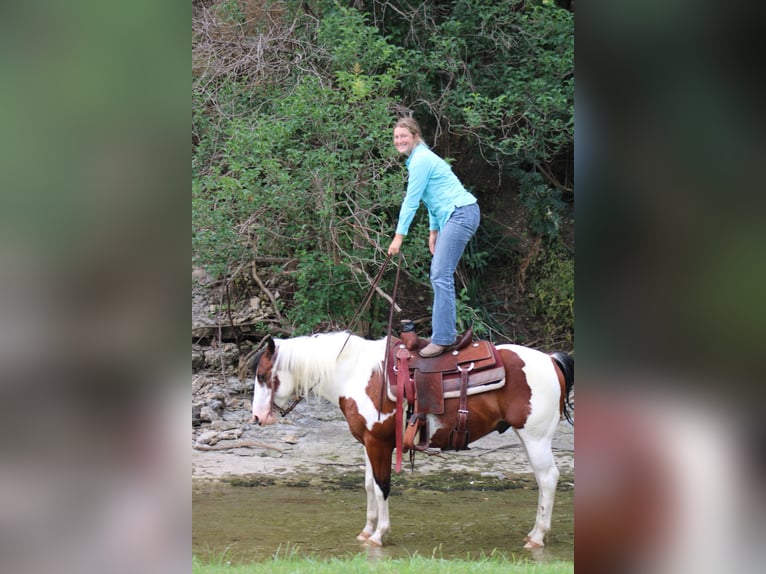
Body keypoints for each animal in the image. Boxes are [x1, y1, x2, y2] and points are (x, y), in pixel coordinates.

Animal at [250, 330, 576, 552]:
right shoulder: (368, 443)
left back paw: (537, 537)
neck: (353, 373)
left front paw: (379, 535)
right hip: (527, 437)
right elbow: (369, 485)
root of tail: (551, 360)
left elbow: (382, 486)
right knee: (543, 479)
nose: (257, 417)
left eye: (263, 375)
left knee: (549, 478)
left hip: (536, 438)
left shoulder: (379, 444)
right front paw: (366, 531)